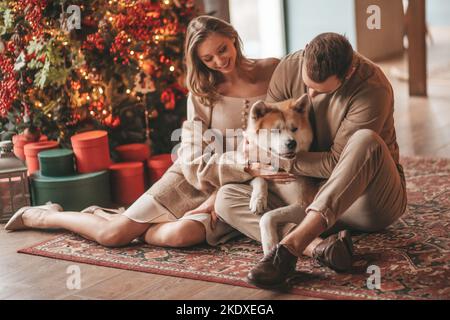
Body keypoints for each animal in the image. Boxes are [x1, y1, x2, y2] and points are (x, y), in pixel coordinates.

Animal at [246, 96, 316, 256]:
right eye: (275, 130)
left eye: (294, 129)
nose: (291, 143)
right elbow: (259, 178)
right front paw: (258, 199)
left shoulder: (303, 205)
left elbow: (267, 216)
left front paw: (270, 244)